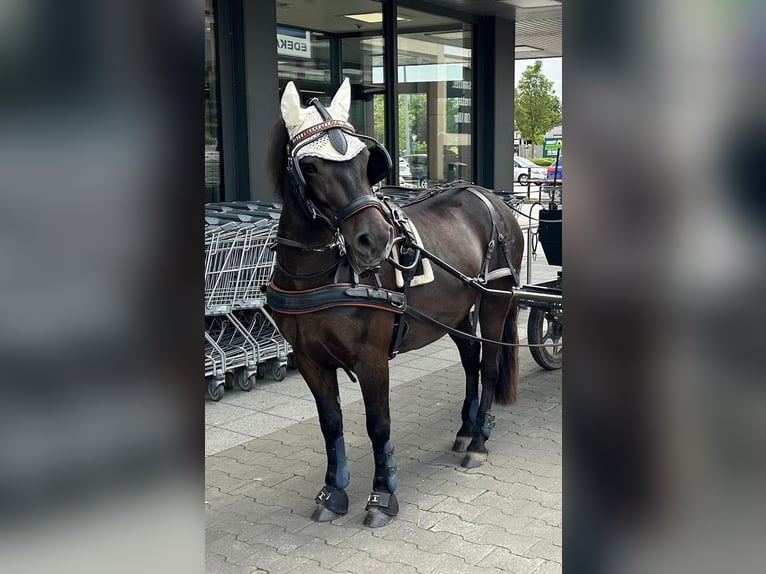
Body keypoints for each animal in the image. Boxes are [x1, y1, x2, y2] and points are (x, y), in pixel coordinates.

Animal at [268, 82, 524, 532]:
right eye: (310, 167)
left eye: (366, 160)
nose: (374, 240)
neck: (321, 274)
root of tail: (489, 198)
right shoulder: (309, 359)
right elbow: (330, 423)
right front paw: (333, 491)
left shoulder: (372, 357)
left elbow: (378, 424)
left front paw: (382, 495)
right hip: (455, 314)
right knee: (472, 360)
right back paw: (466, 426)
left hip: (495, 303)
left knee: (490, 366)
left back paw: (478, 441)